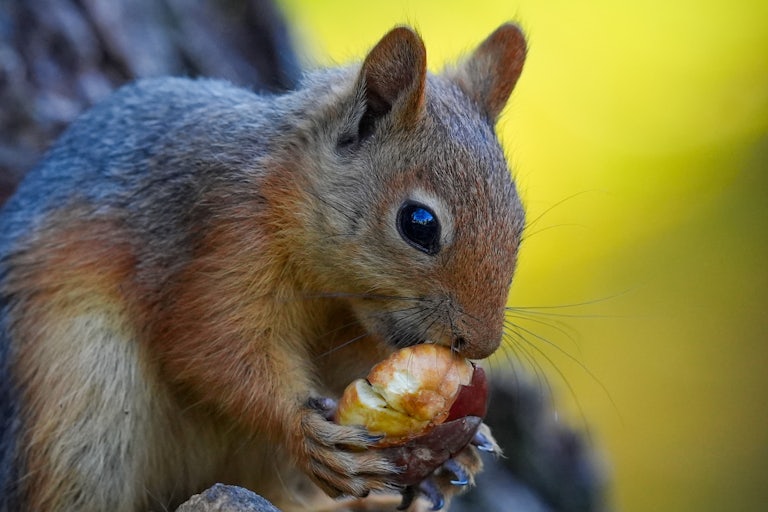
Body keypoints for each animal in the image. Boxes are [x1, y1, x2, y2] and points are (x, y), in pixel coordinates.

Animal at [0, 23, 527, 512]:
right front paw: (304, 431)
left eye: (518, 222)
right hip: (80, 403)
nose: (480, 344)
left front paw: (462, 451)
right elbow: (210, 345)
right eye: (419, 224)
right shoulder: (221, 242)